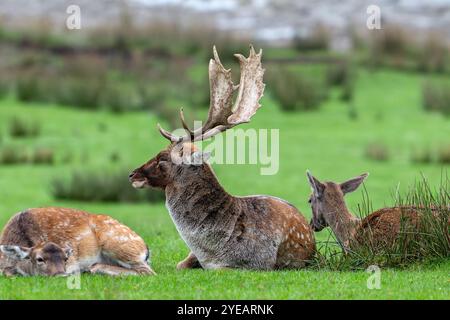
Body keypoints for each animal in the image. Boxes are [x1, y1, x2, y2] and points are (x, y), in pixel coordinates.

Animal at [0, 209, 155, 276]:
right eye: (40, 259)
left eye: (65, 259)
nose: (61, 275)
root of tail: (146, 249)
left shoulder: (72, 262)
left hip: (120, 246)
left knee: (148, 272)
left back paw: (93, 268)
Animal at [128, 45, 314, 270]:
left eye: (162, 157)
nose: (132, 174)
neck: (211, 250)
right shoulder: (191, 257)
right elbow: (180, 265)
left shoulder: (257, 262)